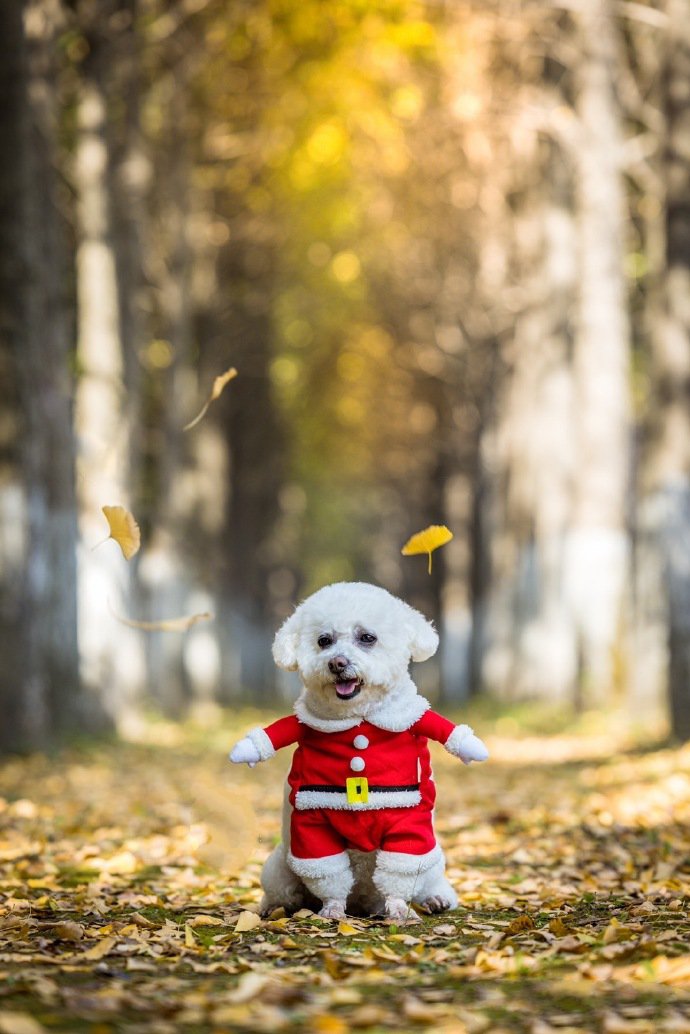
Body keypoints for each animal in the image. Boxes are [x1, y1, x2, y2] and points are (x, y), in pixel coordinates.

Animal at [229, 583, 488, 922]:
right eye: (324, 641)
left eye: (367, 637)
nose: (337, 663)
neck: (360, 717)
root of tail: (364, 903)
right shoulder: (313, 827)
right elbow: (328, 873)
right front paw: (332, 908)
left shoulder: (408, 825)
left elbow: (400, 872)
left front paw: (398, 909)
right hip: (280, 868)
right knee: (285, 892)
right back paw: (272, 907)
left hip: (431, 860)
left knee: (424, 881)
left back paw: (434, 899)